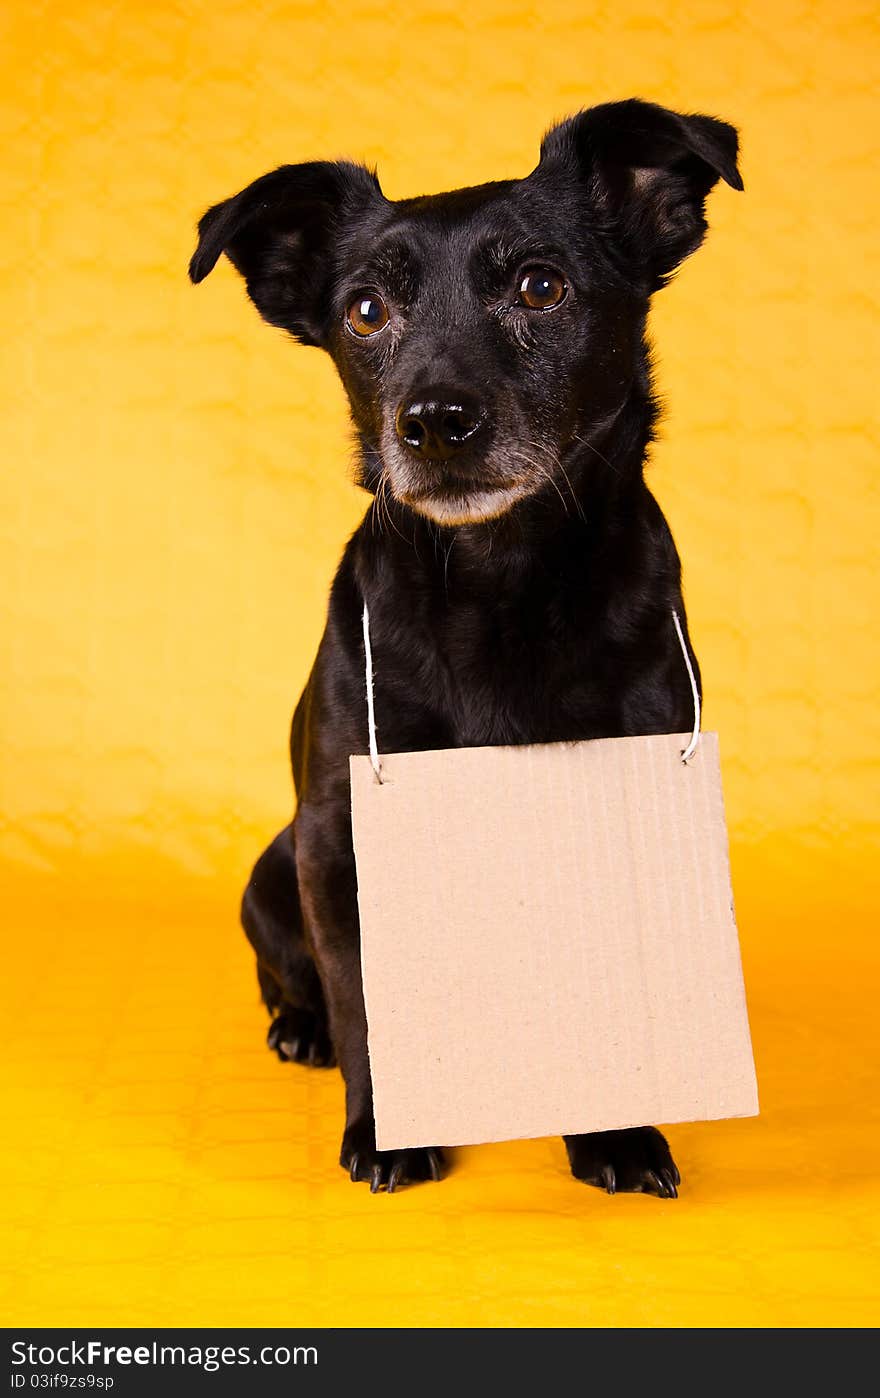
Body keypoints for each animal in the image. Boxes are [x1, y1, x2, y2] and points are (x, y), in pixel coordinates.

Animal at [190, 98, 738, 1196]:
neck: (498, 584)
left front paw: (619, 1134)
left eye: (541, 286)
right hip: (275, 870)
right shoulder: (340, 840)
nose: (435, 423)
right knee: (298, 983)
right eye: (364, 311)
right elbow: (365, 1002)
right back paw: (298, 1030)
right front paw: (385, 1132)